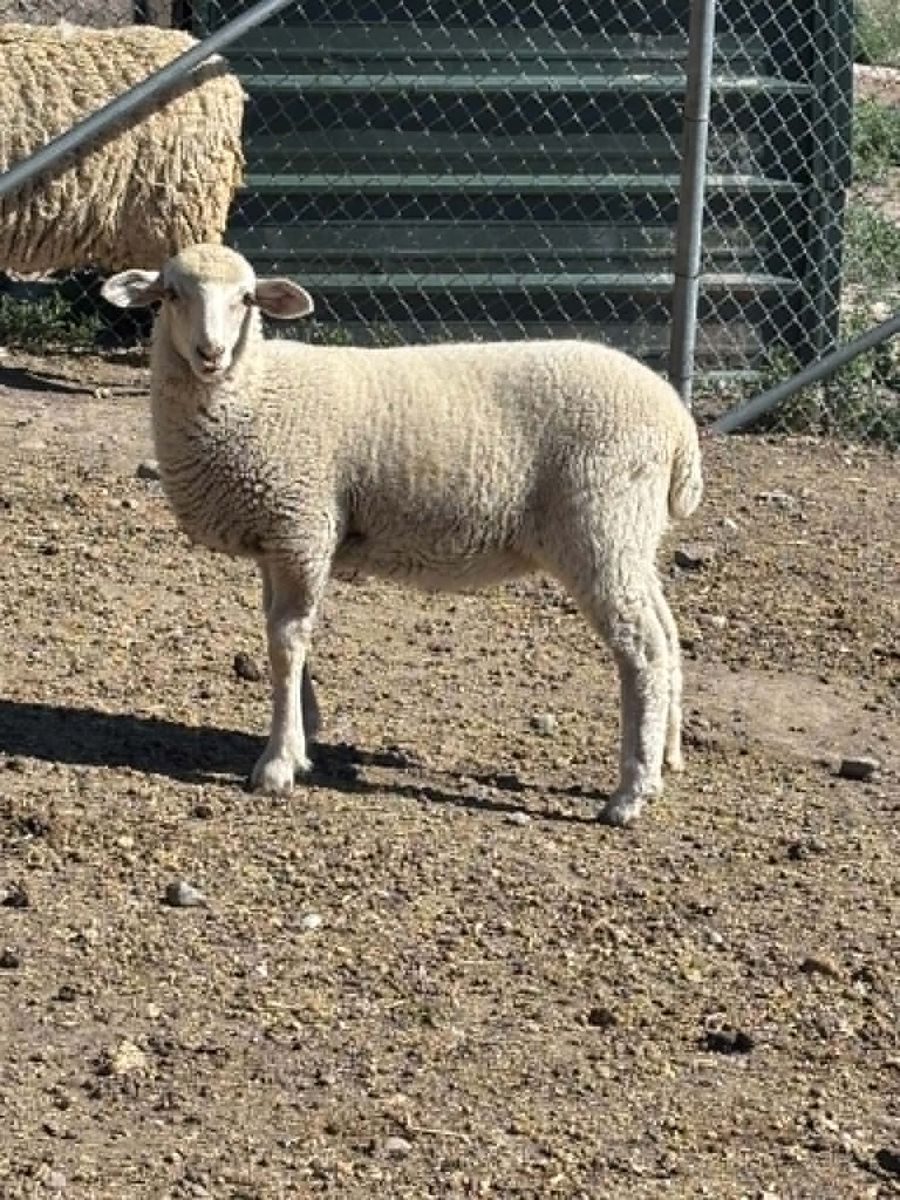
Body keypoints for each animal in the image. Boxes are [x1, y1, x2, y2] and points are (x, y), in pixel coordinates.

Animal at [102, 243, 703, 826]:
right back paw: (667, 755)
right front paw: (302, 733)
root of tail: (678, 425)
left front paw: (277, 763)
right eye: (171, 294)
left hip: (599, 524)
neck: (256, 388)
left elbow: (286, 642)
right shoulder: (280, 537)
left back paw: (630, 792)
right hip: (629, 536)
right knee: (667, 629)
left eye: (247, 298)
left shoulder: (303, 525)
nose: (211, 353)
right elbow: (285, 636)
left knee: (642, 647)